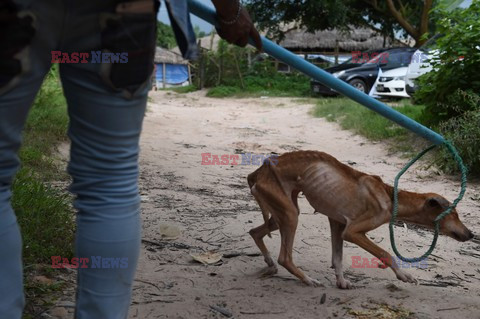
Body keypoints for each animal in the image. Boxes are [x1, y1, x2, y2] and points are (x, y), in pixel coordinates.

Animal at [249, 151, 474, 288]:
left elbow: (337, 258)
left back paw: (269, 263)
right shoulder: (352, 231)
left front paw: (341, 282)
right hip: (290, 215)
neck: (391, 197)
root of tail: (259, 171)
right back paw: (308, 279)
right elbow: (386, 253)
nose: (471, 234)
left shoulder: (337, 224)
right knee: (284, 257)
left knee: (254, 232)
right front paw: (403, 275)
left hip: (282, 214)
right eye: (455, 214)